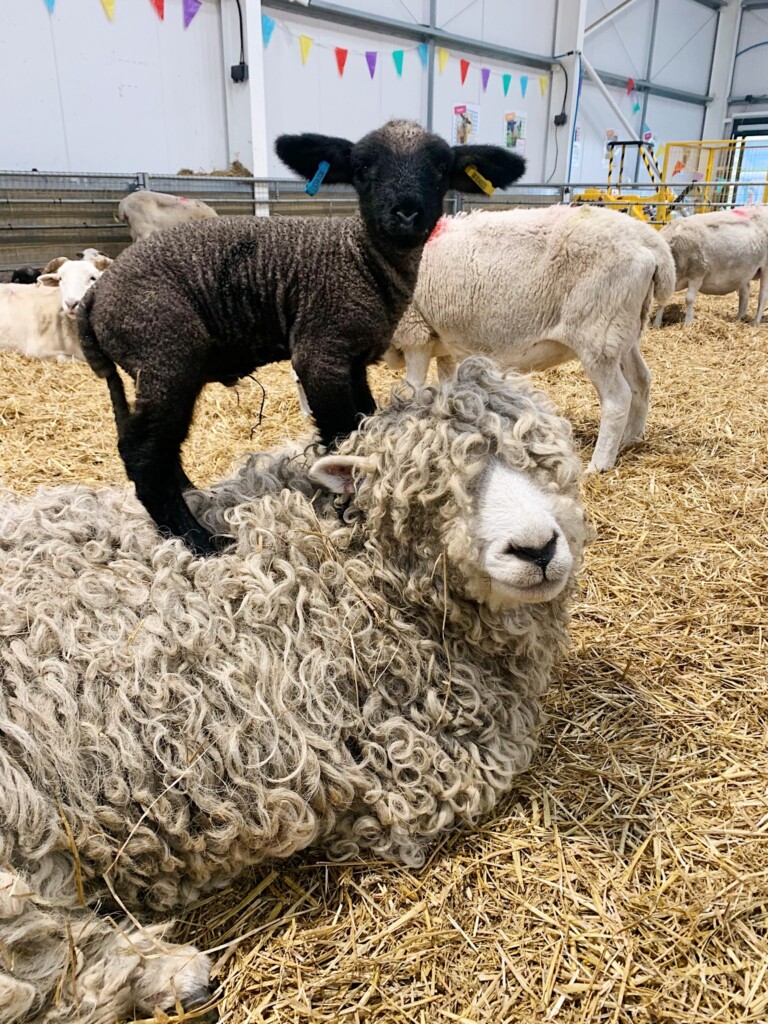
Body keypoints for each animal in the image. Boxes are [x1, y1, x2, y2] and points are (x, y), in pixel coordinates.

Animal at [0, 358, 588, 1023]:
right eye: (431, 498)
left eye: (542, 461)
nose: (538, 548)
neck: (343, 569)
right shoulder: (414, 768)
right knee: (34, 954)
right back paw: (172, 974)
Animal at [77, 119, 526, 555]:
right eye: (363, 167)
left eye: (441, 168)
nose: (406, 212)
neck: (362, 259)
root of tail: (96, 295)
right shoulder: (321, 350)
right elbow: (342, 432)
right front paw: (346, 498)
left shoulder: (353, 359)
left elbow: (364, 418)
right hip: (164, 353)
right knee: (143, 454)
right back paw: (198, 540)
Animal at [387, 204, 676, 473]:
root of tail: (649, 241)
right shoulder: (441, 338)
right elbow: (446, 385)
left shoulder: (413, 331)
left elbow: (413, 386)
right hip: (623, 332)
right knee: (642, 380)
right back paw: (631, 438)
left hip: (598, 333)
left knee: (617, 399)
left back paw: (599, 463)